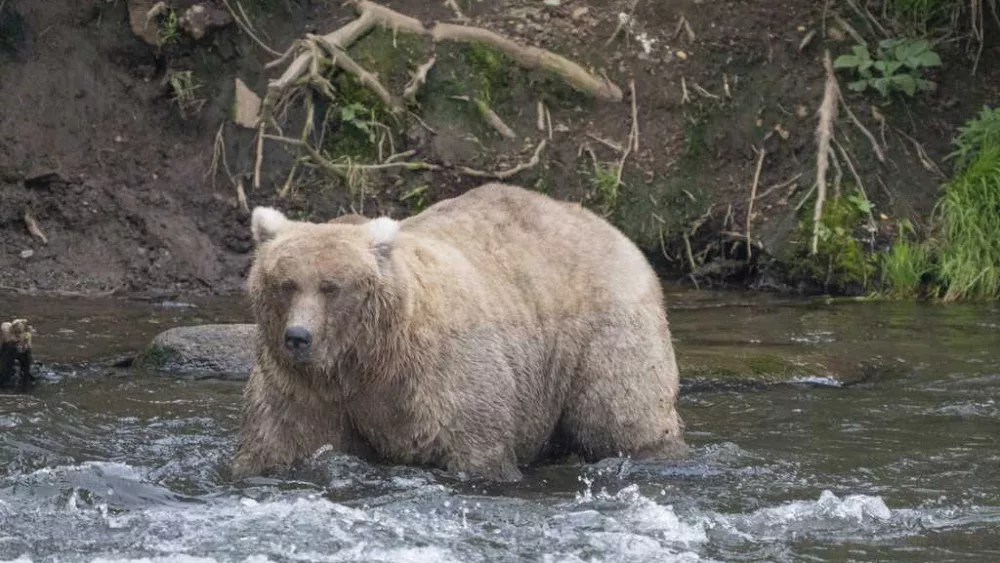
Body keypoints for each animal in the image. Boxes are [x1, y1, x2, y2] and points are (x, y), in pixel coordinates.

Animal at [234, 182, 688, 480]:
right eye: (286, 283)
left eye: (331, 286)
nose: (298, 337)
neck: (365, 360)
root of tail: (610, 228)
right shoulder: (303, 390)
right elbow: (278, 442)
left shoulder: (440, 377)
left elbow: (475, 445)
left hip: (603, 332)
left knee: (621, 415)